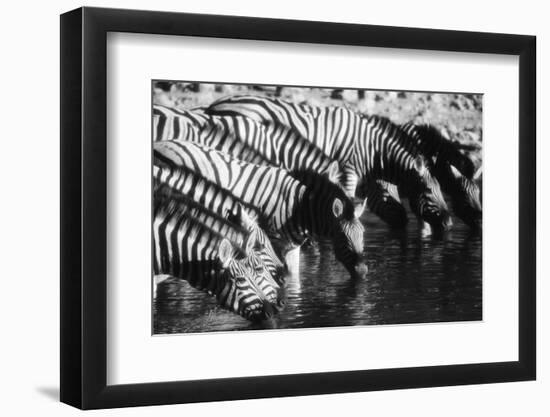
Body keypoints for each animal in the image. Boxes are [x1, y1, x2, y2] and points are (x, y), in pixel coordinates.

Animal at [155, 141, 368, 280]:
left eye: (363, 234)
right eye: (342, 237)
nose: (363, 271)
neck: (297, 206)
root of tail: (161, 142)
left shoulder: (293, 246)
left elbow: (294, 277)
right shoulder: (274, 243)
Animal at [207, 96, 452, 234]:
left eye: (441, 189)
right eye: (428, 191)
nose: (450, 224)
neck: (370, 150)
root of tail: (215, 104)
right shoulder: (348, 170)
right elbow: (345, 199)